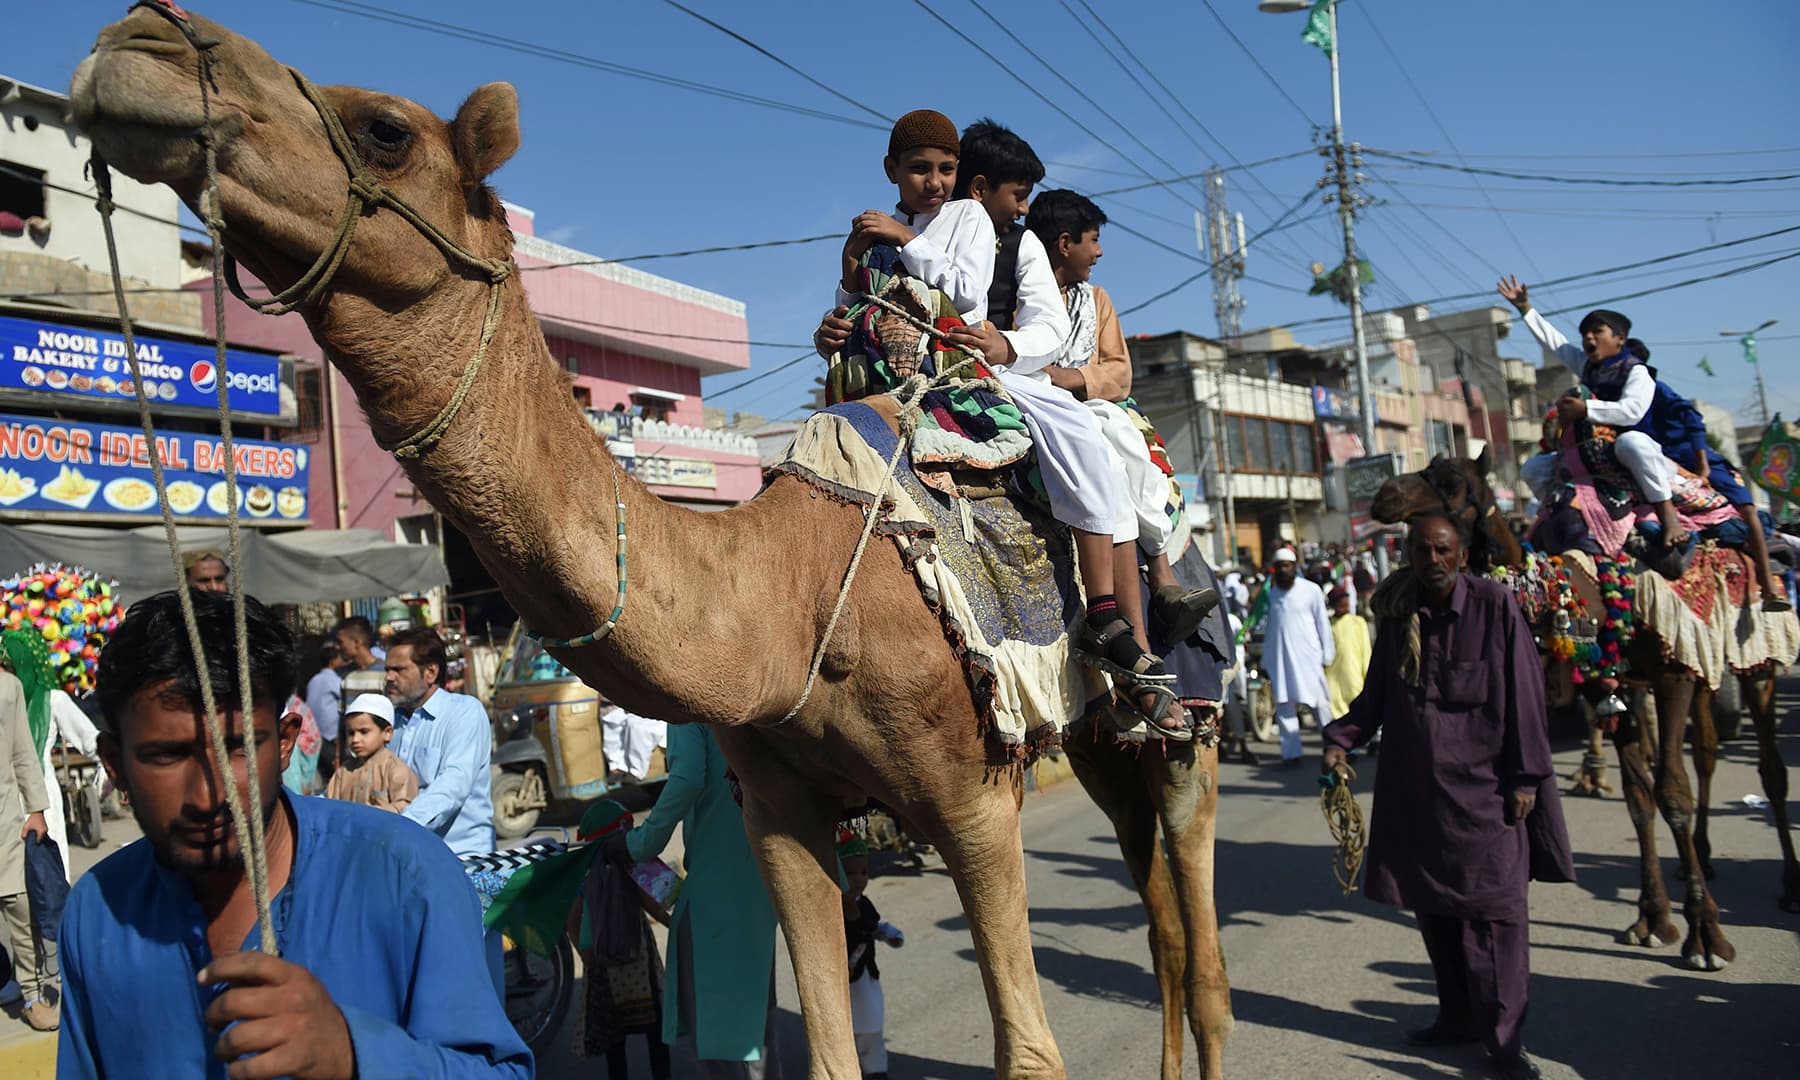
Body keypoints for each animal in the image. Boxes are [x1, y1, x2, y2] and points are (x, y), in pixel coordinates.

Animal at [63, 6, 1231, 1072]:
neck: (791, 596)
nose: (141, 39)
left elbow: (1030, 1050)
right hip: (1098, 745)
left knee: (1202, 946)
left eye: (386, 128)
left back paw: (1144, 637)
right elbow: (829, 1046)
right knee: (1164, 926)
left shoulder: (974, 799)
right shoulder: (782, 810)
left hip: (1185, 730)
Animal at [1368, 451, 1792, 972]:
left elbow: (1673, 792)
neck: (1588, 590)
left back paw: (1789, 886)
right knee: (1709, 749)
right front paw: (1652, 920)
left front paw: (1706, 936)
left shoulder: (1672, 674)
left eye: (1450, 482)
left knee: (1769, 766)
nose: (1385, 495)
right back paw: (1706, 856)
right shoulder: (1614, 686)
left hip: (1757, 655)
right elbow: (1639, 798)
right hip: (1703, 665)